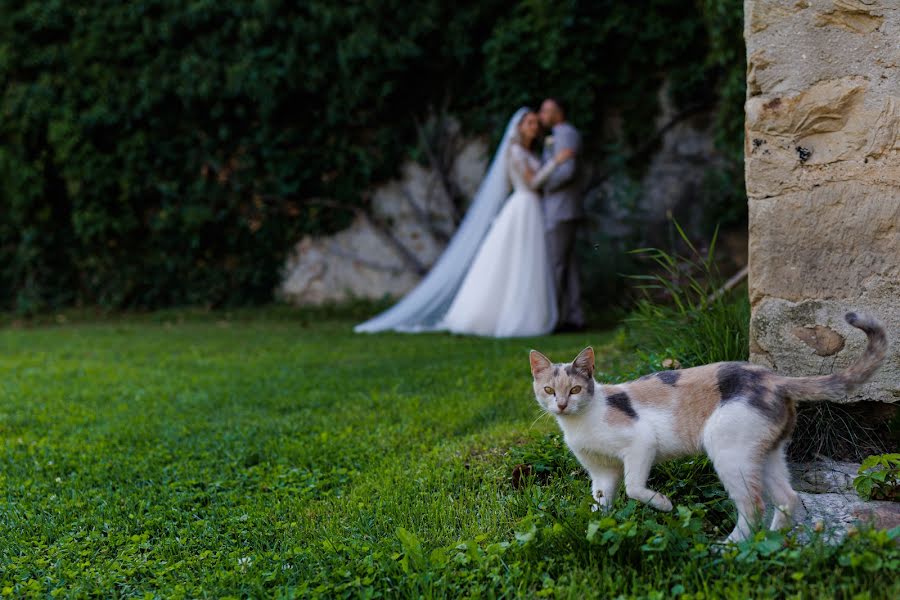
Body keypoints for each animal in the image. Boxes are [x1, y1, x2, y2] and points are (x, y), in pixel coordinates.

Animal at [528, 314, 884, 544]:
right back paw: (770, 544)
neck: (579, 423)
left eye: (575, 390)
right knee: (787, 498)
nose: (561, 404)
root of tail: (775, 379)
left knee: (753, 506)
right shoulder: (602, 473)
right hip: (766, 454)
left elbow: (633, 488)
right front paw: (596, 525)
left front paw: (664, 504)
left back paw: (730, 548)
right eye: (549, 390)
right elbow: (600, 502)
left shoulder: (641, 442)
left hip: (729, 450)